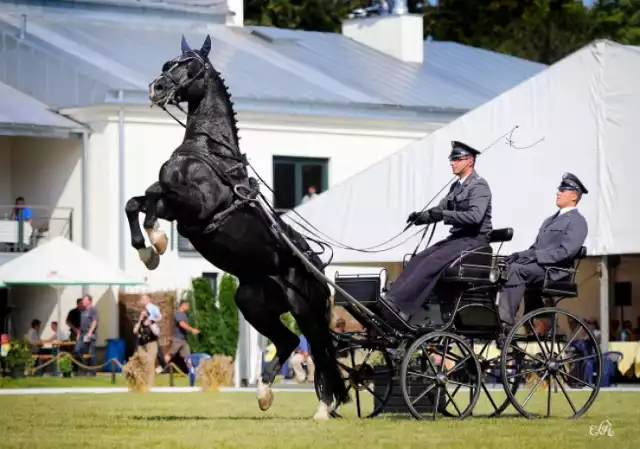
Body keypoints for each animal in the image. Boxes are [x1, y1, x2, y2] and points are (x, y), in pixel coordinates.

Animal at [122, 36, 348, 420]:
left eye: (191, 66)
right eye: (168, 63)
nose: (157, 88)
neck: (208, 152)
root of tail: (317, 265)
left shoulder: (196, 206)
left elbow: (155, 191)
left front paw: (157, 240)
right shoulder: (180, 209)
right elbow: (136, 202)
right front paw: (148, 251)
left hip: (305, 309)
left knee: (319, 349)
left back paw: (321, 408)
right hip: (251, 303)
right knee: (288, 341)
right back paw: (264, 392)